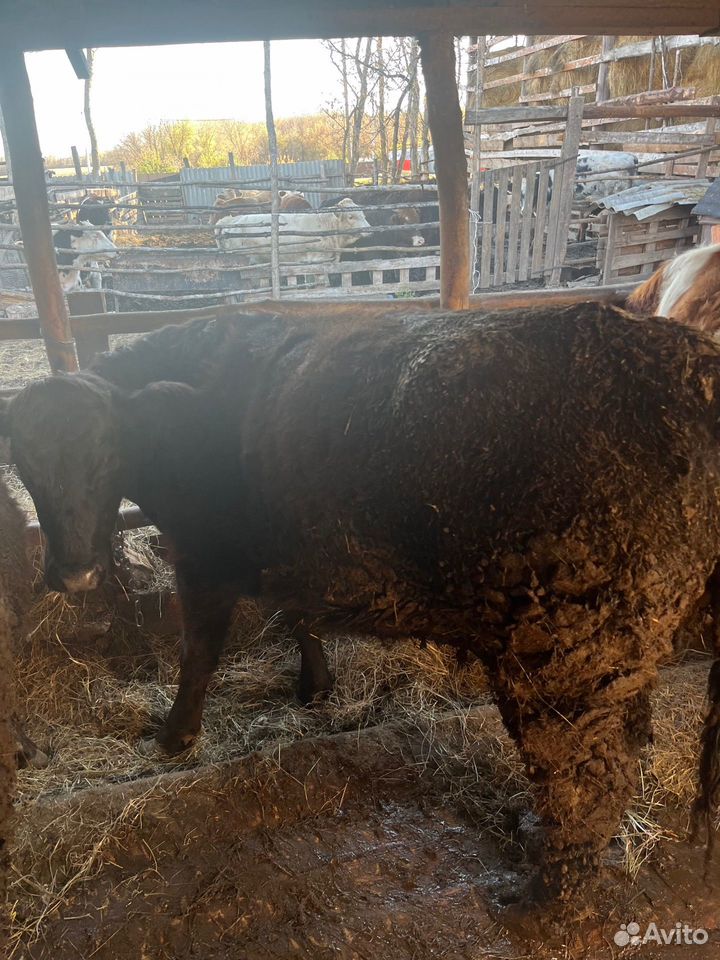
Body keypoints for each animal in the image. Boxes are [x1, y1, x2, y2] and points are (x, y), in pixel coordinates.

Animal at [3, 303, 720, 909]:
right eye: (26, 466)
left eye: (106, 455)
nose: (74, 574)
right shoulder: (293, 546)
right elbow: (299, 617)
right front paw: (316, 686)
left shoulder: (203, 556)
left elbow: (199, 652)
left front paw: (176, 734)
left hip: (570, 648)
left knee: (585, 776)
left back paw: (546, 901)